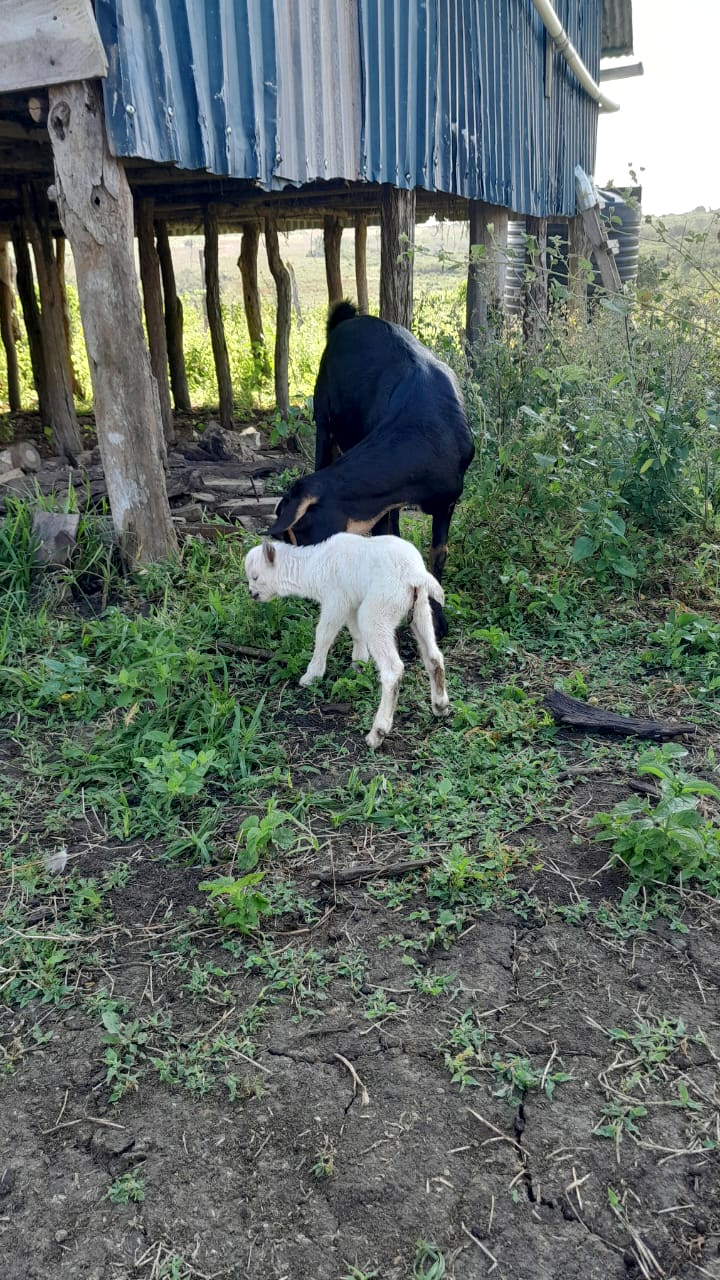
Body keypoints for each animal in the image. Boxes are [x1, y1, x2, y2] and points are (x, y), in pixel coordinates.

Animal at [244, 533, 451, 748]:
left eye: (255, 576)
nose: (251, 593)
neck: (313, 565)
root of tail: (414, 575)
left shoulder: (336, 600)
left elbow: (323, 635)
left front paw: (312, 675)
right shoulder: (353, 602)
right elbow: (355, 632)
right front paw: (359, 664)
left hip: (378, 610)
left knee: (392, 669)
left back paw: (377, 733)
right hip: (420, 607)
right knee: (433, 655)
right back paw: (440, 706)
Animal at [267, 302, 474, 636]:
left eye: (301, 532)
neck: (427, 431)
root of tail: (348, 319)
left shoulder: (448, 500)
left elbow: (438, 554)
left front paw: (435, 619)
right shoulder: (382, 505)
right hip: (323, 414)